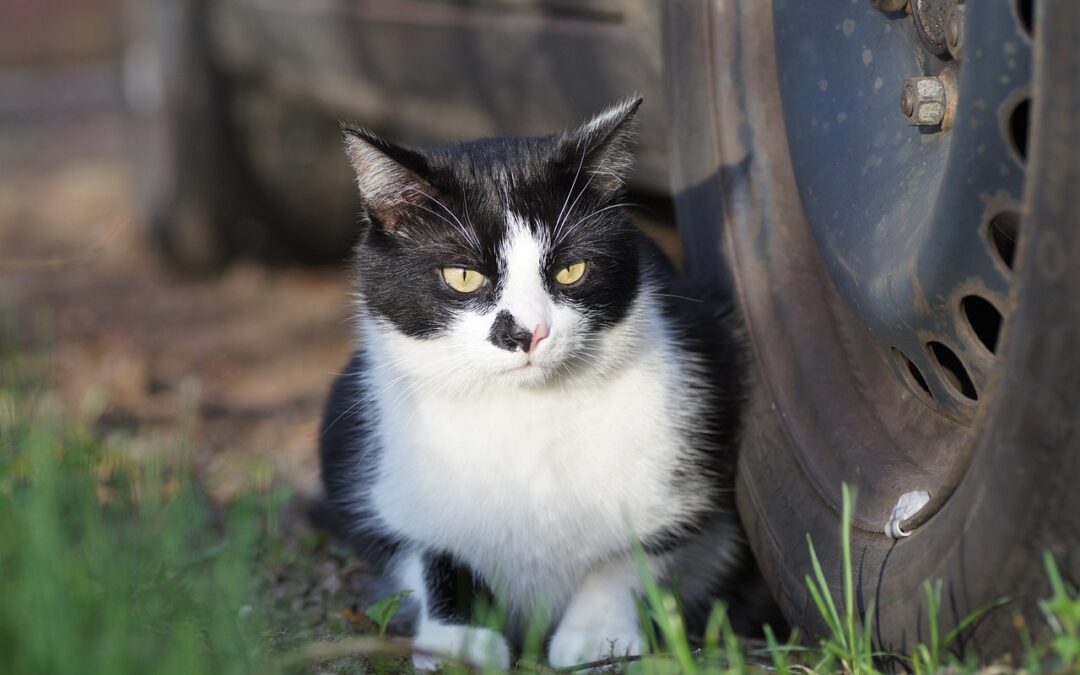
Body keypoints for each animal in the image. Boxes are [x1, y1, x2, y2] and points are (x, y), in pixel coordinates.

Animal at [315, 96, 777, 669]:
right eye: (463, 276)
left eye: (570, 271)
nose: (526, 332)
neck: (526, 415)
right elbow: (428, 547)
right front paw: (459, 642)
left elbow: (634, 552)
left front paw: (598, 635)